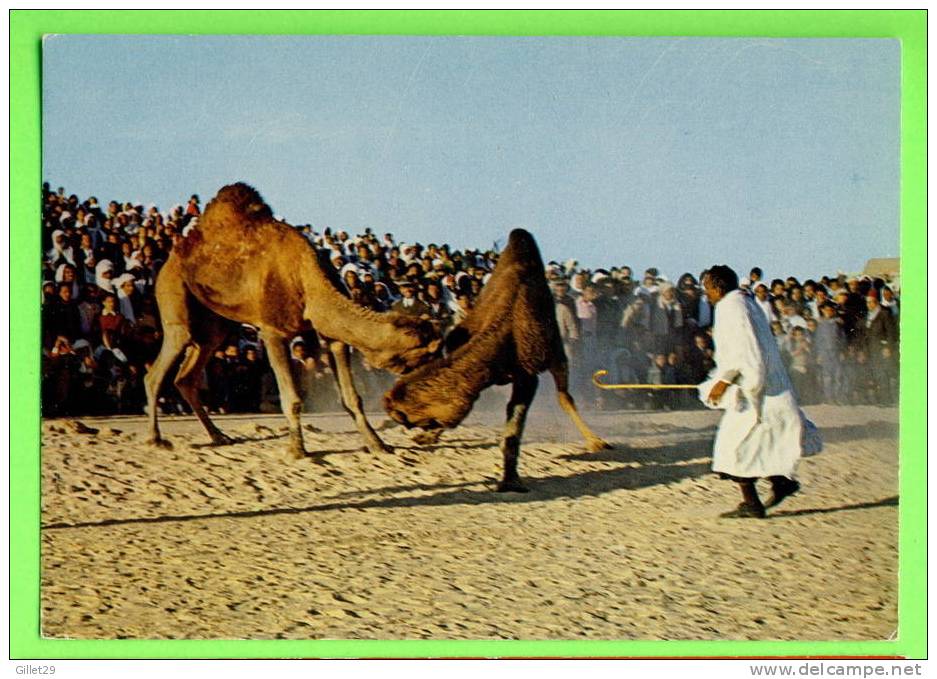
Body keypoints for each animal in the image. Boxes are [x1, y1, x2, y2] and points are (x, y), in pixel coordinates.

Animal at [384, 230, 612, 494]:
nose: (389, 407)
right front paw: (427, 437)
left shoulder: (528, 373)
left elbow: (514, 426)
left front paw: (511, 480)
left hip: (556, 351)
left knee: (564, 395)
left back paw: (596, 441)